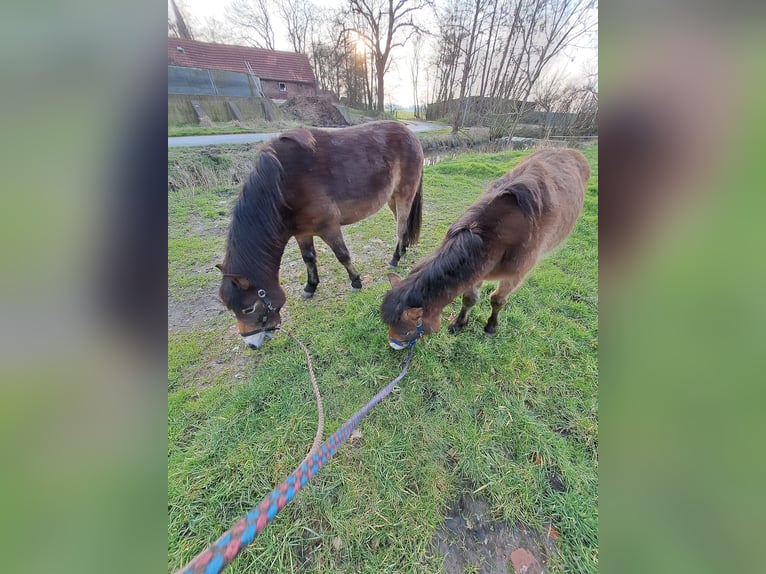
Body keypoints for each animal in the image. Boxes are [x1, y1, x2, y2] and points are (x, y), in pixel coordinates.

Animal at [218, 121, 426, 352]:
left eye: (248, 309)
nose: (252, 344)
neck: (283, 185)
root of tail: (410, 134)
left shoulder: (329, 228)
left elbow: (342, 255)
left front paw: (356, 282)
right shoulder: (302, 232)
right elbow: (308, 258)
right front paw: (310, 286)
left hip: (404, 194)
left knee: (400, 227)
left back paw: (395, 258)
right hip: (391, 199)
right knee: (402, 225)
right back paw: (403, 250)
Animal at [380, 148, 592, 352]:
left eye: (407, 331)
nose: (393, 345)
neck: (494, 237)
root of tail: (570, 151)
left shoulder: (514, 275)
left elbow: (497, 300)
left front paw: (490, 327)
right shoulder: (478, 270)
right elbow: (469, 299)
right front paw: (459, 324)